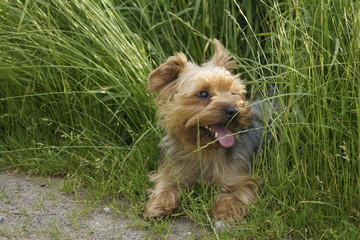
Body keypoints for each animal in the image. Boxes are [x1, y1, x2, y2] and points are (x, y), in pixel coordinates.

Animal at [143, 39, 264, 223]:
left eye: (233, 92)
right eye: (203, 94)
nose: (234, 110)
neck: (203, 149)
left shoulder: (240, 177)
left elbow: (237, 193)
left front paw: (225, 213)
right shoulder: (172, 170)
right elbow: (166, 185)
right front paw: (158, 206)